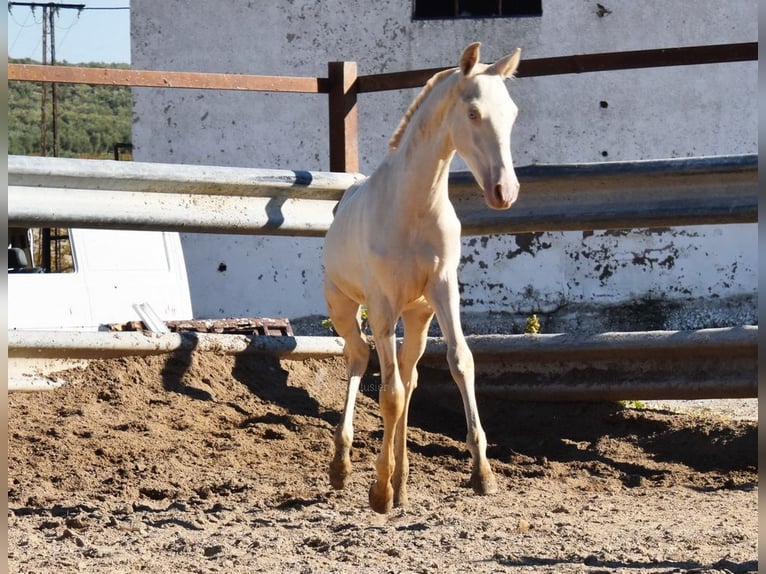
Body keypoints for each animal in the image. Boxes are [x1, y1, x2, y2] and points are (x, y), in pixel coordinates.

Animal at [320, 42, 524, 516]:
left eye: (512, 113)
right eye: (473, 113)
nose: (505, 192)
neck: (413, 207)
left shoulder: (444, 290)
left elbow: (460, 362)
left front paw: (483, 474)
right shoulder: (381, 304)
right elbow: (389, 393)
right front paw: (377, 490)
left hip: (416, 316)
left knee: (409, 374)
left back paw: (403, 483)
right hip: (345, 307)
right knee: (360, 358)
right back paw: (344, 466)